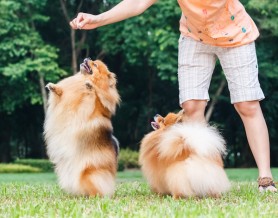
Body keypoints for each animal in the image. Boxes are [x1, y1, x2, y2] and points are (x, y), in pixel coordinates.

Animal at [44, 58, 120, 198]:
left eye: (95, 64)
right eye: (92, 60)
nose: (87, 58)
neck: (81, 80)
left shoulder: (100, 107)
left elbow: (98, 98)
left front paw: (91, 86)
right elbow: (61, 93)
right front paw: (54, 87)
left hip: (89, 174)